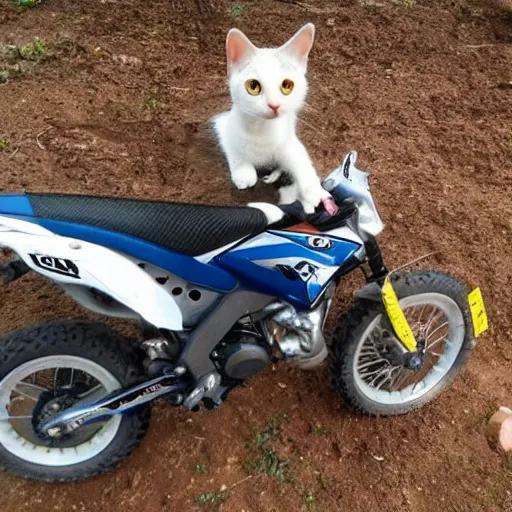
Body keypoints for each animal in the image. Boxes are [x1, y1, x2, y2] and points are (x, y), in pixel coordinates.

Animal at [212, 21, 332, 214]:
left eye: (287, 85)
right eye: (253, 86)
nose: (274, 105)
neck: (263, 129)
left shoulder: (288, 140)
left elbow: (300, 158)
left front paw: (314, 191)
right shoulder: (221, 124)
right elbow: (234, 146)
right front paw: (243, 172)